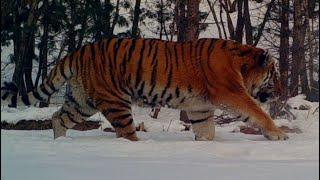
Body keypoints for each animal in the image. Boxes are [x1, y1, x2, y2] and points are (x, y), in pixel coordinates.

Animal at [0, 38, 288, 141]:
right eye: (274, 76)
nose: (283, 91)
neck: (241, 62)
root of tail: (80, 51)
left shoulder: (201, 107)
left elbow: (206, 130)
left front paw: (205, 145)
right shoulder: (231, 94)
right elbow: (257, 112)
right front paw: (278, 134)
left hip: (81, 101)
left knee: (58, 117)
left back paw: (60, 144)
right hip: (115, 101)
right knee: (125, 133)